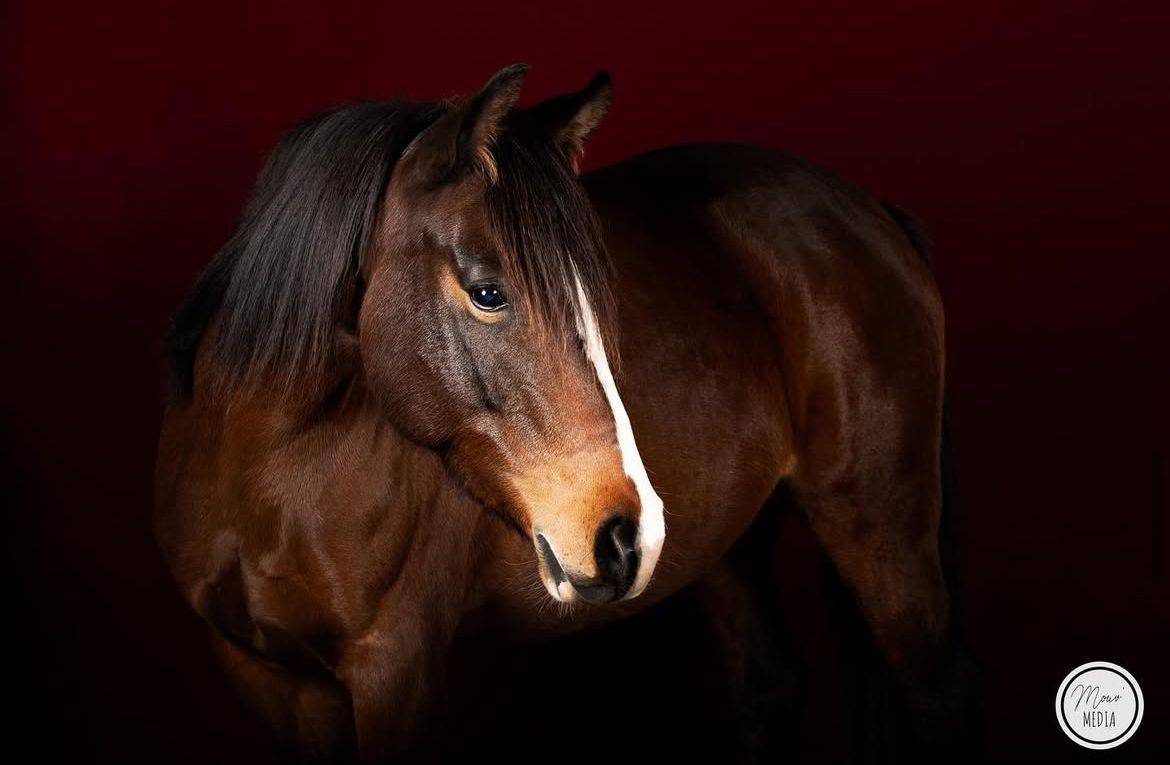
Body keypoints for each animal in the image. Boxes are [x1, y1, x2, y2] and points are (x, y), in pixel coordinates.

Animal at [155, 64, 977, 761]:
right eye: (488, 292)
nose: (628, 536)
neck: (267, 483)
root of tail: (867, 209)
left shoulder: (395, 669)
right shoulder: (271, 678)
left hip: (883, 527)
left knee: (939, 698)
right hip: (732, 544)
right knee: (771, 685)